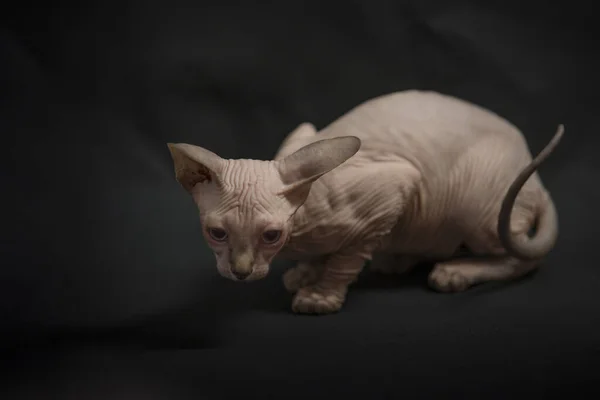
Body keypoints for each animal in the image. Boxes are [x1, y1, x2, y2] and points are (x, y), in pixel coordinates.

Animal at [168, 90, 564, 316]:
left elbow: (346, 258)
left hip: (478, 204)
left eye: (271, 235)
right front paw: (307, 271)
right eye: (217, 233)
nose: (241, 271)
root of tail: (538, 182)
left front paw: (321, 294)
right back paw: (398, 259)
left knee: (523, 257)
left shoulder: (395, 187)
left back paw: (455, 272)